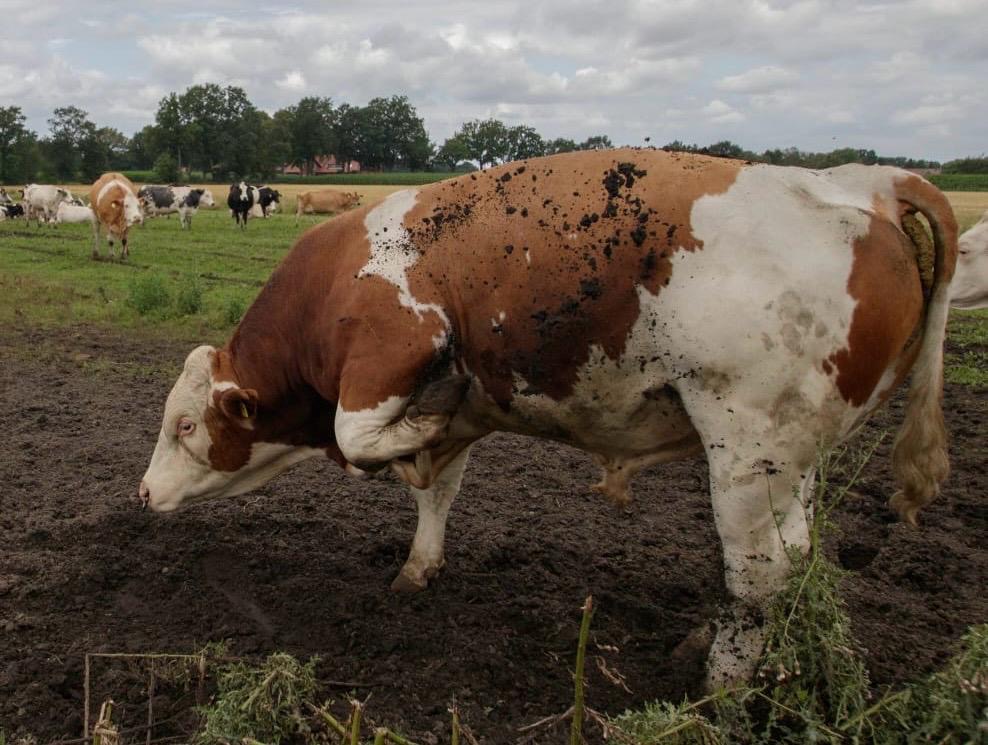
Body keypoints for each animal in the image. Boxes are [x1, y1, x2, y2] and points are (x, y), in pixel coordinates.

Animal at [139, 149, 957, 690]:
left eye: (185, 427)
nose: (142, 494)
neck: (332, 279)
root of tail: (864, 184)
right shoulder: (460, 416)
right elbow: (436, 493)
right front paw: (418, 564)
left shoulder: (395, 350)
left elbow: (359, 437)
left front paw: (404, 451)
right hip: (794, 458)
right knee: (792, 558)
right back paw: (719, 642)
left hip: (747, 447)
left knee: (761, 572)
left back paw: (720, 686)